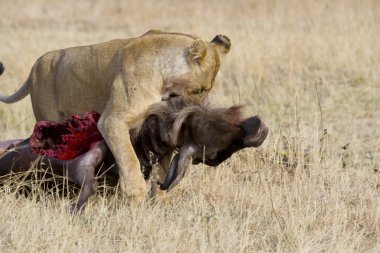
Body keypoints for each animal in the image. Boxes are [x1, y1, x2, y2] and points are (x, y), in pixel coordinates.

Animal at [0, 30, 232, 204]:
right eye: (200, 90)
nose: (198, 112)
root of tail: (34, 67)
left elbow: (162, 167)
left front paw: (160, 198)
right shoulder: (112, 121)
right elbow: (128, 158)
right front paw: (135, 195)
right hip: (49, 121)